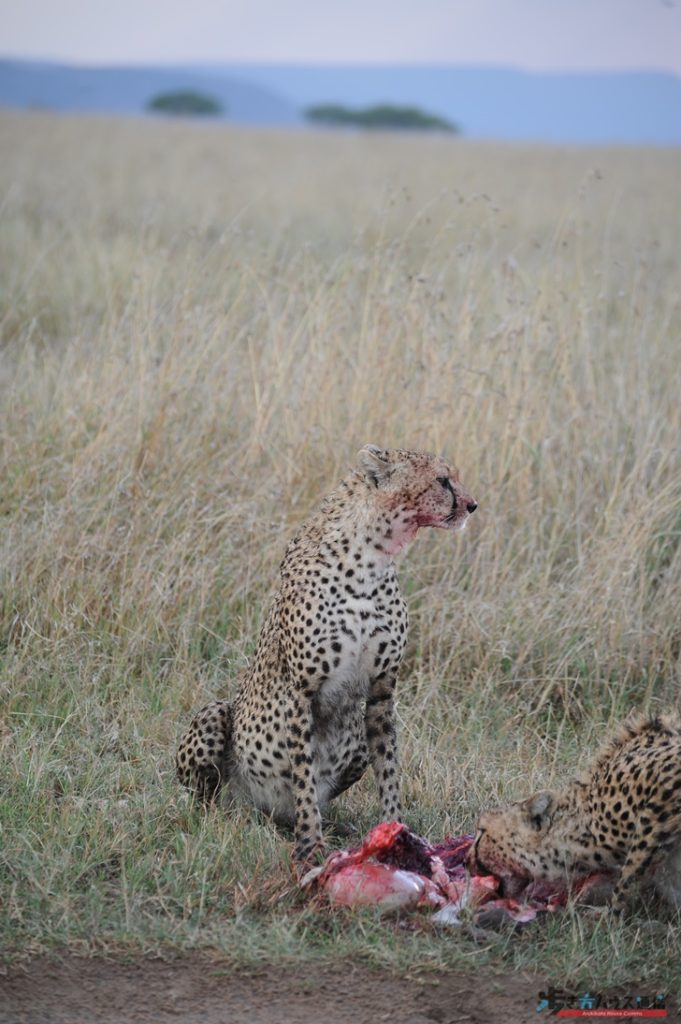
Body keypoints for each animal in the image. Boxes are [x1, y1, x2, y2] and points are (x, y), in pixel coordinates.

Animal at [175, 444, 475, 868]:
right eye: (442, 479)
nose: (472, 505)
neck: (373, 556)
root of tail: (260, 809)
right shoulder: (302, 692)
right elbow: (303, 775)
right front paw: (311, 845)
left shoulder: (382, 693)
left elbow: (389, 771)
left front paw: (396, 835)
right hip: (215, 717)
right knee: (205, 798)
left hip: (356, 741)